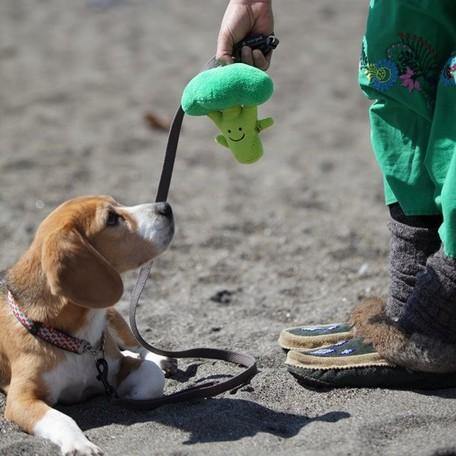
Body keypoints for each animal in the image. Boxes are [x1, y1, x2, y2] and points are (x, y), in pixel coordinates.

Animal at [0, 196, 175, 456]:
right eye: (111, 219)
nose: (166, 207)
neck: (79, 341)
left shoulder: (115, 364)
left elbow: (151, 376)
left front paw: (132, 393)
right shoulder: (20, 399)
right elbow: (61, 418)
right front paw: (80, 444)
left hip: (114, 316)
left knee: (137, 345)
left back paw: (158, 357)